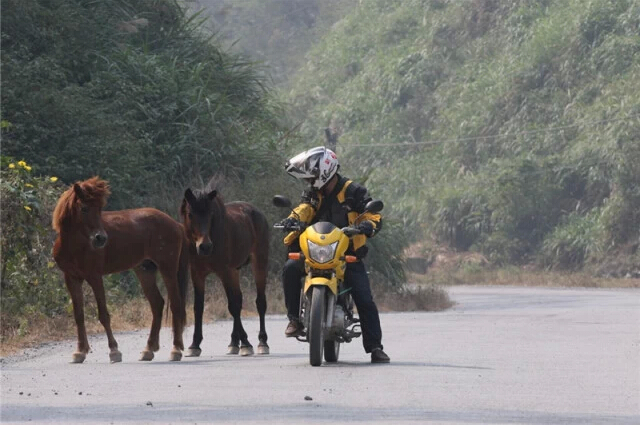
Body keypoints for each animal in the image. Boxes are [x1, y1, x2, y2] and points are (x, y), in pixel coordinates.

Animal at [52, 177, 189, 362]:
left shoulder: (95, 277)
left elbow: (103, 314)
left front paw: (114, 350)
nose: (101, 238)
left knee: (176, 304)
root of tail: (175, 224)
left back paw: (176, 349)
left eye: (100, 209)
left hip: (168, 269)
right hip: (145, 270)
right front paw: (80, 351)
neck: (76, 245)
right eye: (84, 208)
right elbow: (79, 315)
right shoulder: (71, 278)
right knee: (157, 304)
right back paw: (149, 349)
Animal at [180, 186, 270, 354]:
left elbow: (233, 306)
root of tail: (257, 212)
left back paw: (262, 342)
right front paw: (194, 344)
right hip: (234, 271)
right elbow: (198, 307)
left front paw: (246, 344)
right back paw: (233, 342)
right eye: (190, 214)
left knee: (260, 302)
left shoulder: (224, 272)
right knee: (239, 299)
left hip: (259, 263)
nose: (205, 247)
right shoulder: (197, 274)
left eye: (210, 214)